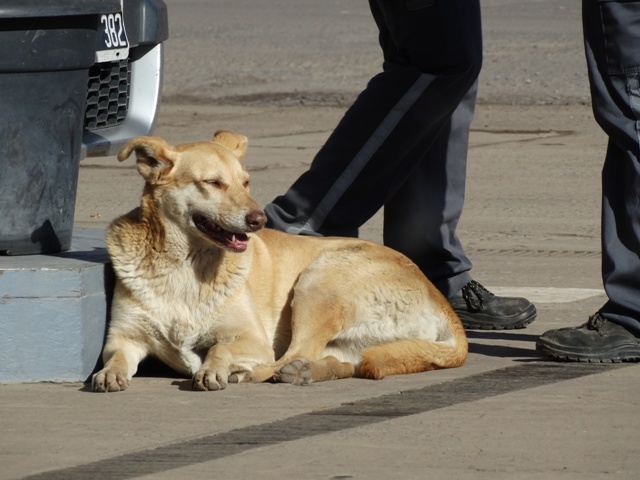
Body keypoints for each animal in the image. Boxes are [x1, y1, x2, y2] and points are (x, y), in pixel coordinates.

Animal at [90, 129, 468, 392]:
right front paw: (109, 373)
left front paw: (214, 368)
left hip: (319, 283)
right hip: (346, 331)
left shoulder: (253, 340)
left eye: (245, 182)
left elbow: (220, 348)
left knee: (293, 354)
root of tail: (440, 299)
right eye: (212, 182)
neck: (184, 265)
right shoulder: (123, 337)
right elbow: (116, 356)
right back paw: (306, 373)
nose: (258, 219)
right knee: (334, 361)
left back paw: (254, 372)